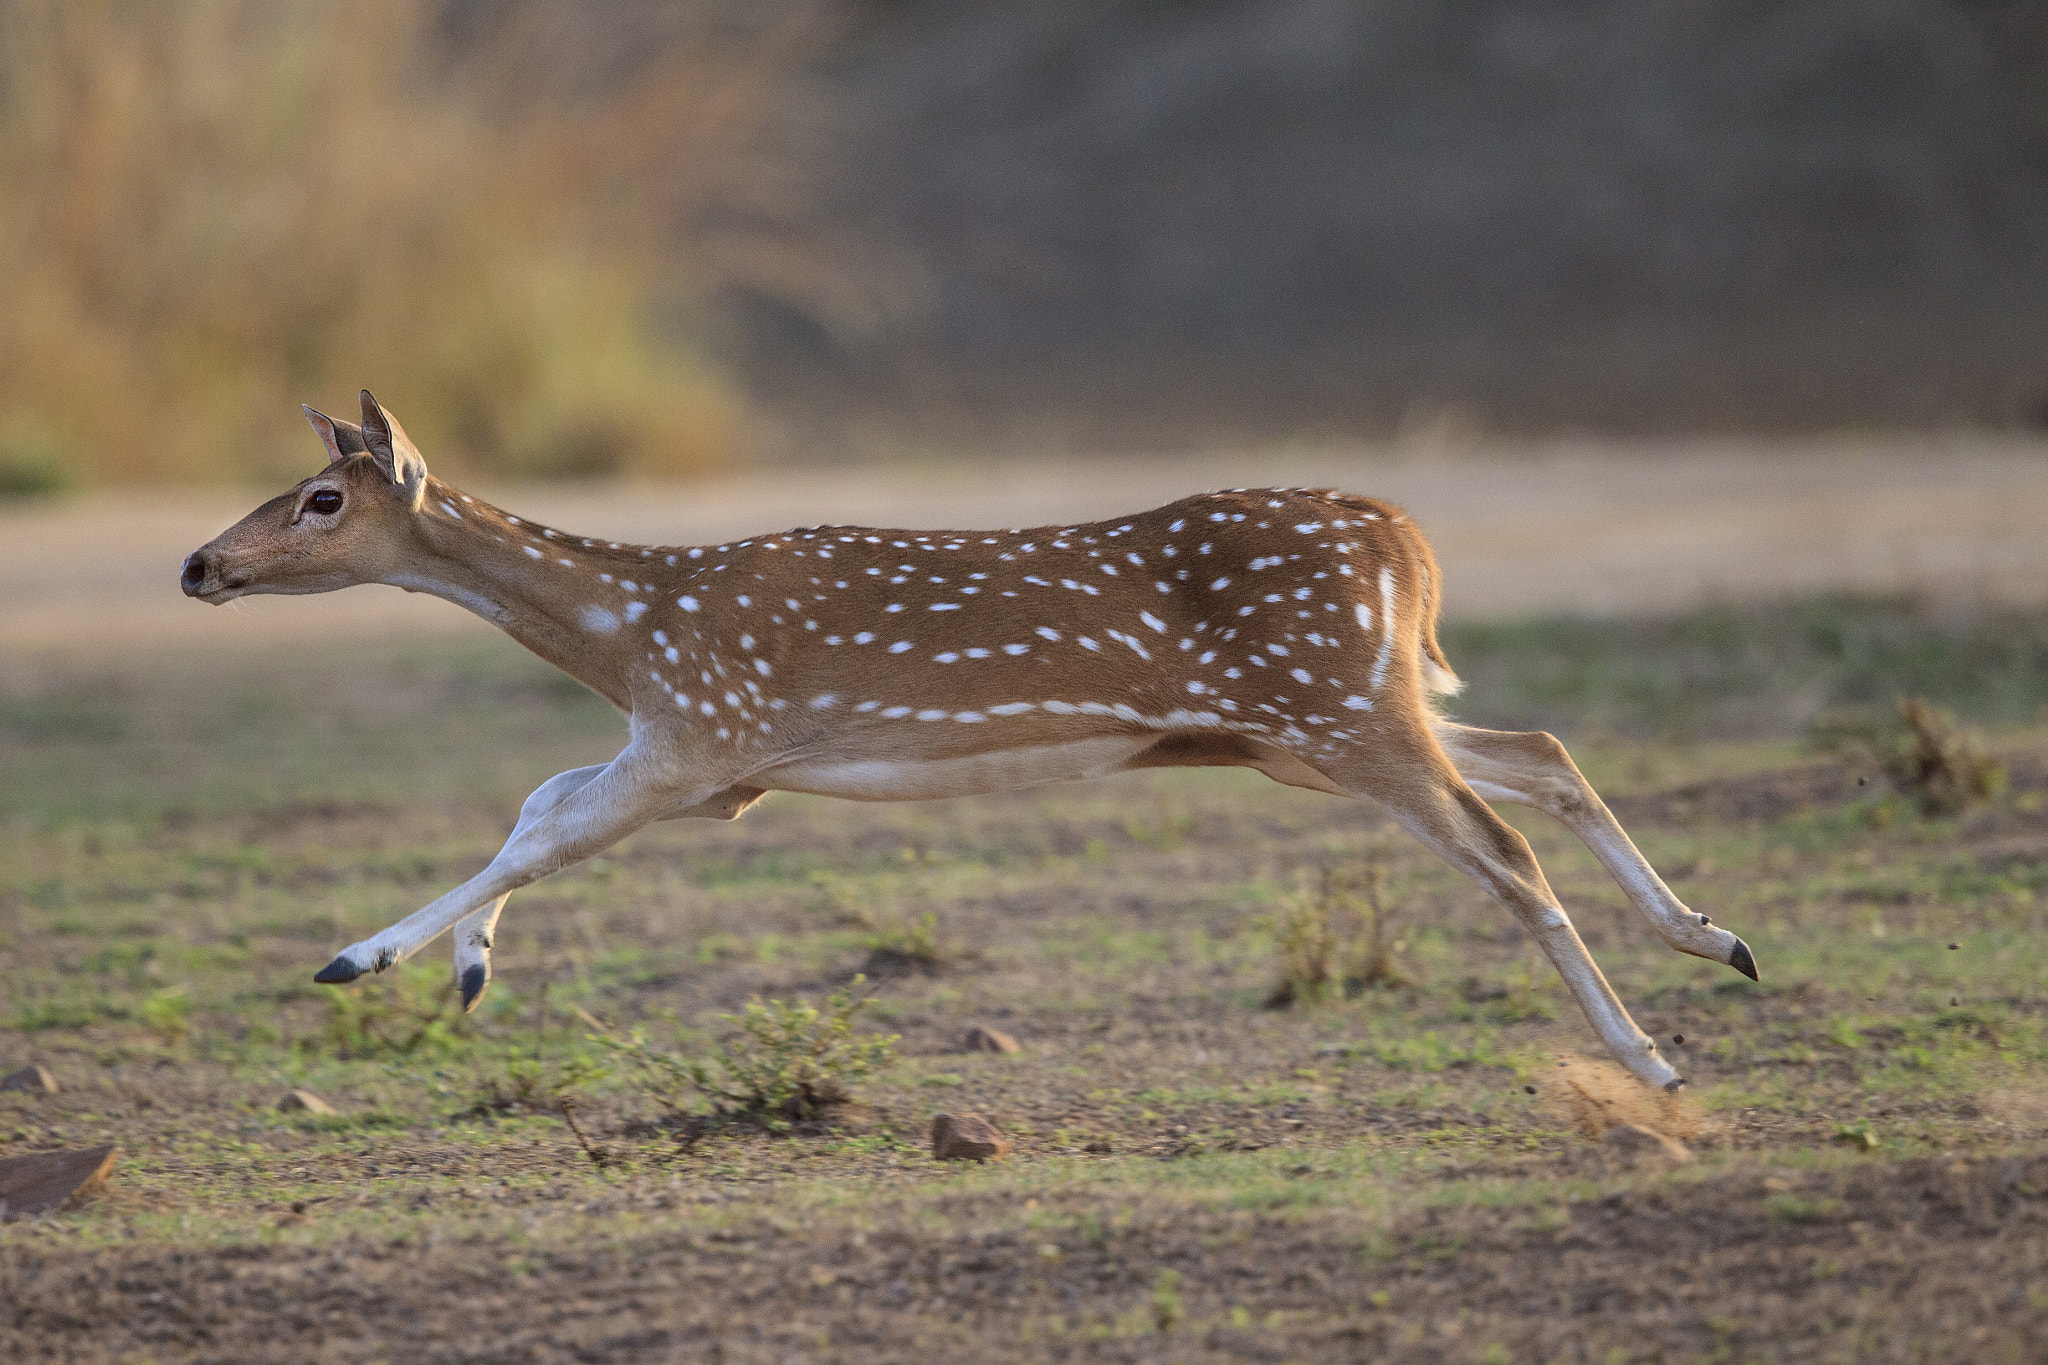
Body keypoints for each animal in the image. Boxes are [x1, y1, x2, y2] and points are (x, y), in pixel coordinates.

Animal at [184, 392, 1761, 1088]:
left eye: (322, 499)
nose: (200, 564)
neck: (630, 627)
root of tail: (1411, 549)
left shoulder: (703, 729)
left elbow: (549, 822)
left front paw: (361, 958)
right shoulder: (719, 768)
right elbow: (536, 799)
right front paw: (466, 970)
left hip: (1340, 706)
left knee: (1499, 848)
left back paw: (1651, 1059)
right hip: (1330, 721)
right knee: (1543, 750)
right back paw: (1716, 940)